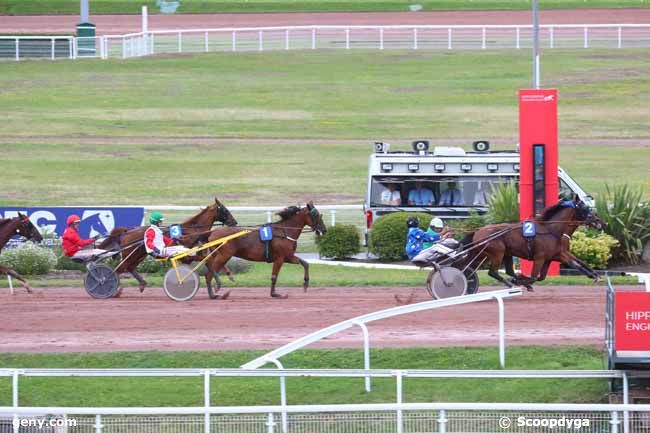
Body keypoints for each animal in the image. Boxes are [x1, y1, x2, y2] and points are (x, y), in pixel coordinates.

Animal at [98, 197, 235, 292]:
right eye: (225, 210)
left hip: (139, 255)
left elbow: (211, 261)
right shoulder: (188, 256)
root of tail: (127, 231)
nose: (234, 222)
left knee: (129, 267)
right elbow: (208, 261)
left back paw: (142, 284)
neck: (193, 231)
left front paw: (229, 275)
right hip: (131, 254)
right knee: (119, 269)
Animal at [460, 196, 604, 290]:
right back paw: (510, 283)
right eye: (585, 209)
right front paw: (521, 281)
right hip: (497, 252)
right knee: (492, 272)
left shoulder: (554, 256)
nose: (600, 222)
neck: (550, 230)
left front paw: (594, 274)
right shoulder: (540, 257)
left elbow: (576, 263)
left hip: (504, 253)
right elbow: (535, 277)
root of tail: (478, 232)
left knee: (505, 270)